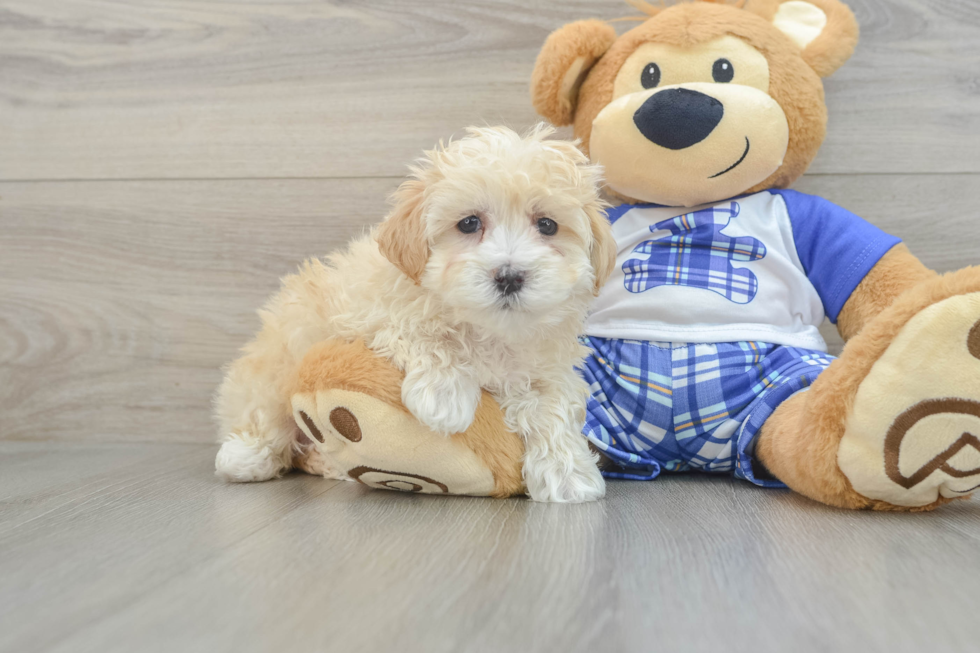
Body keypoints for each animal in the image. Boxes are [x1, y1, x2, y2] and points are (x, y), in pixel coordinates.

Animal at [214, 125, 612, 502]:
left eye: (547, 225)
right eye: (469, 223)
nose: (510, 276)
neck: (488, 330)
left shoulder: (548, 368)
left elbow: (552, 406)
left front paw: (567, 473)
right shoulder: (365, 311)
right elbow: (413, 327)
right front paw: (444, 395)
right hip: (279, 356)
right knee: (263, 410)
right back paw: (246, 455)